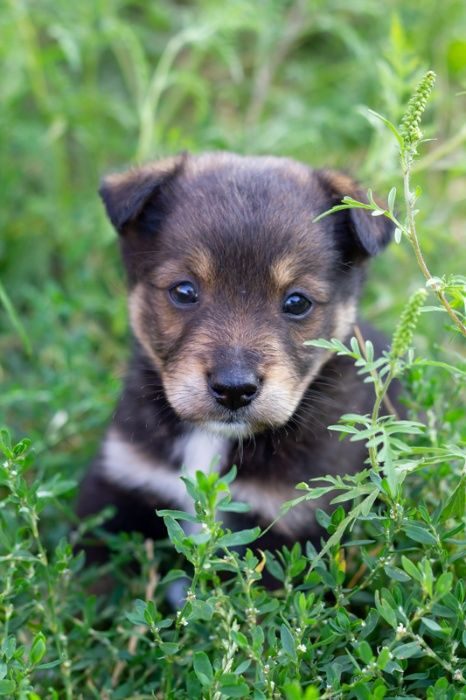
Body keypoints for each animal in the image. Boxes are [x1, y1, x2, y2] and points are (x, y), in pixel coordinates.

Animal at [75, 152, 394, 556]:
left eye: (297, 302)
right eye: (184, 291)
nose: (234, 390)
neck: (210, 439)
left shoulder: (288, 522)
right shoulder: (117, 489)